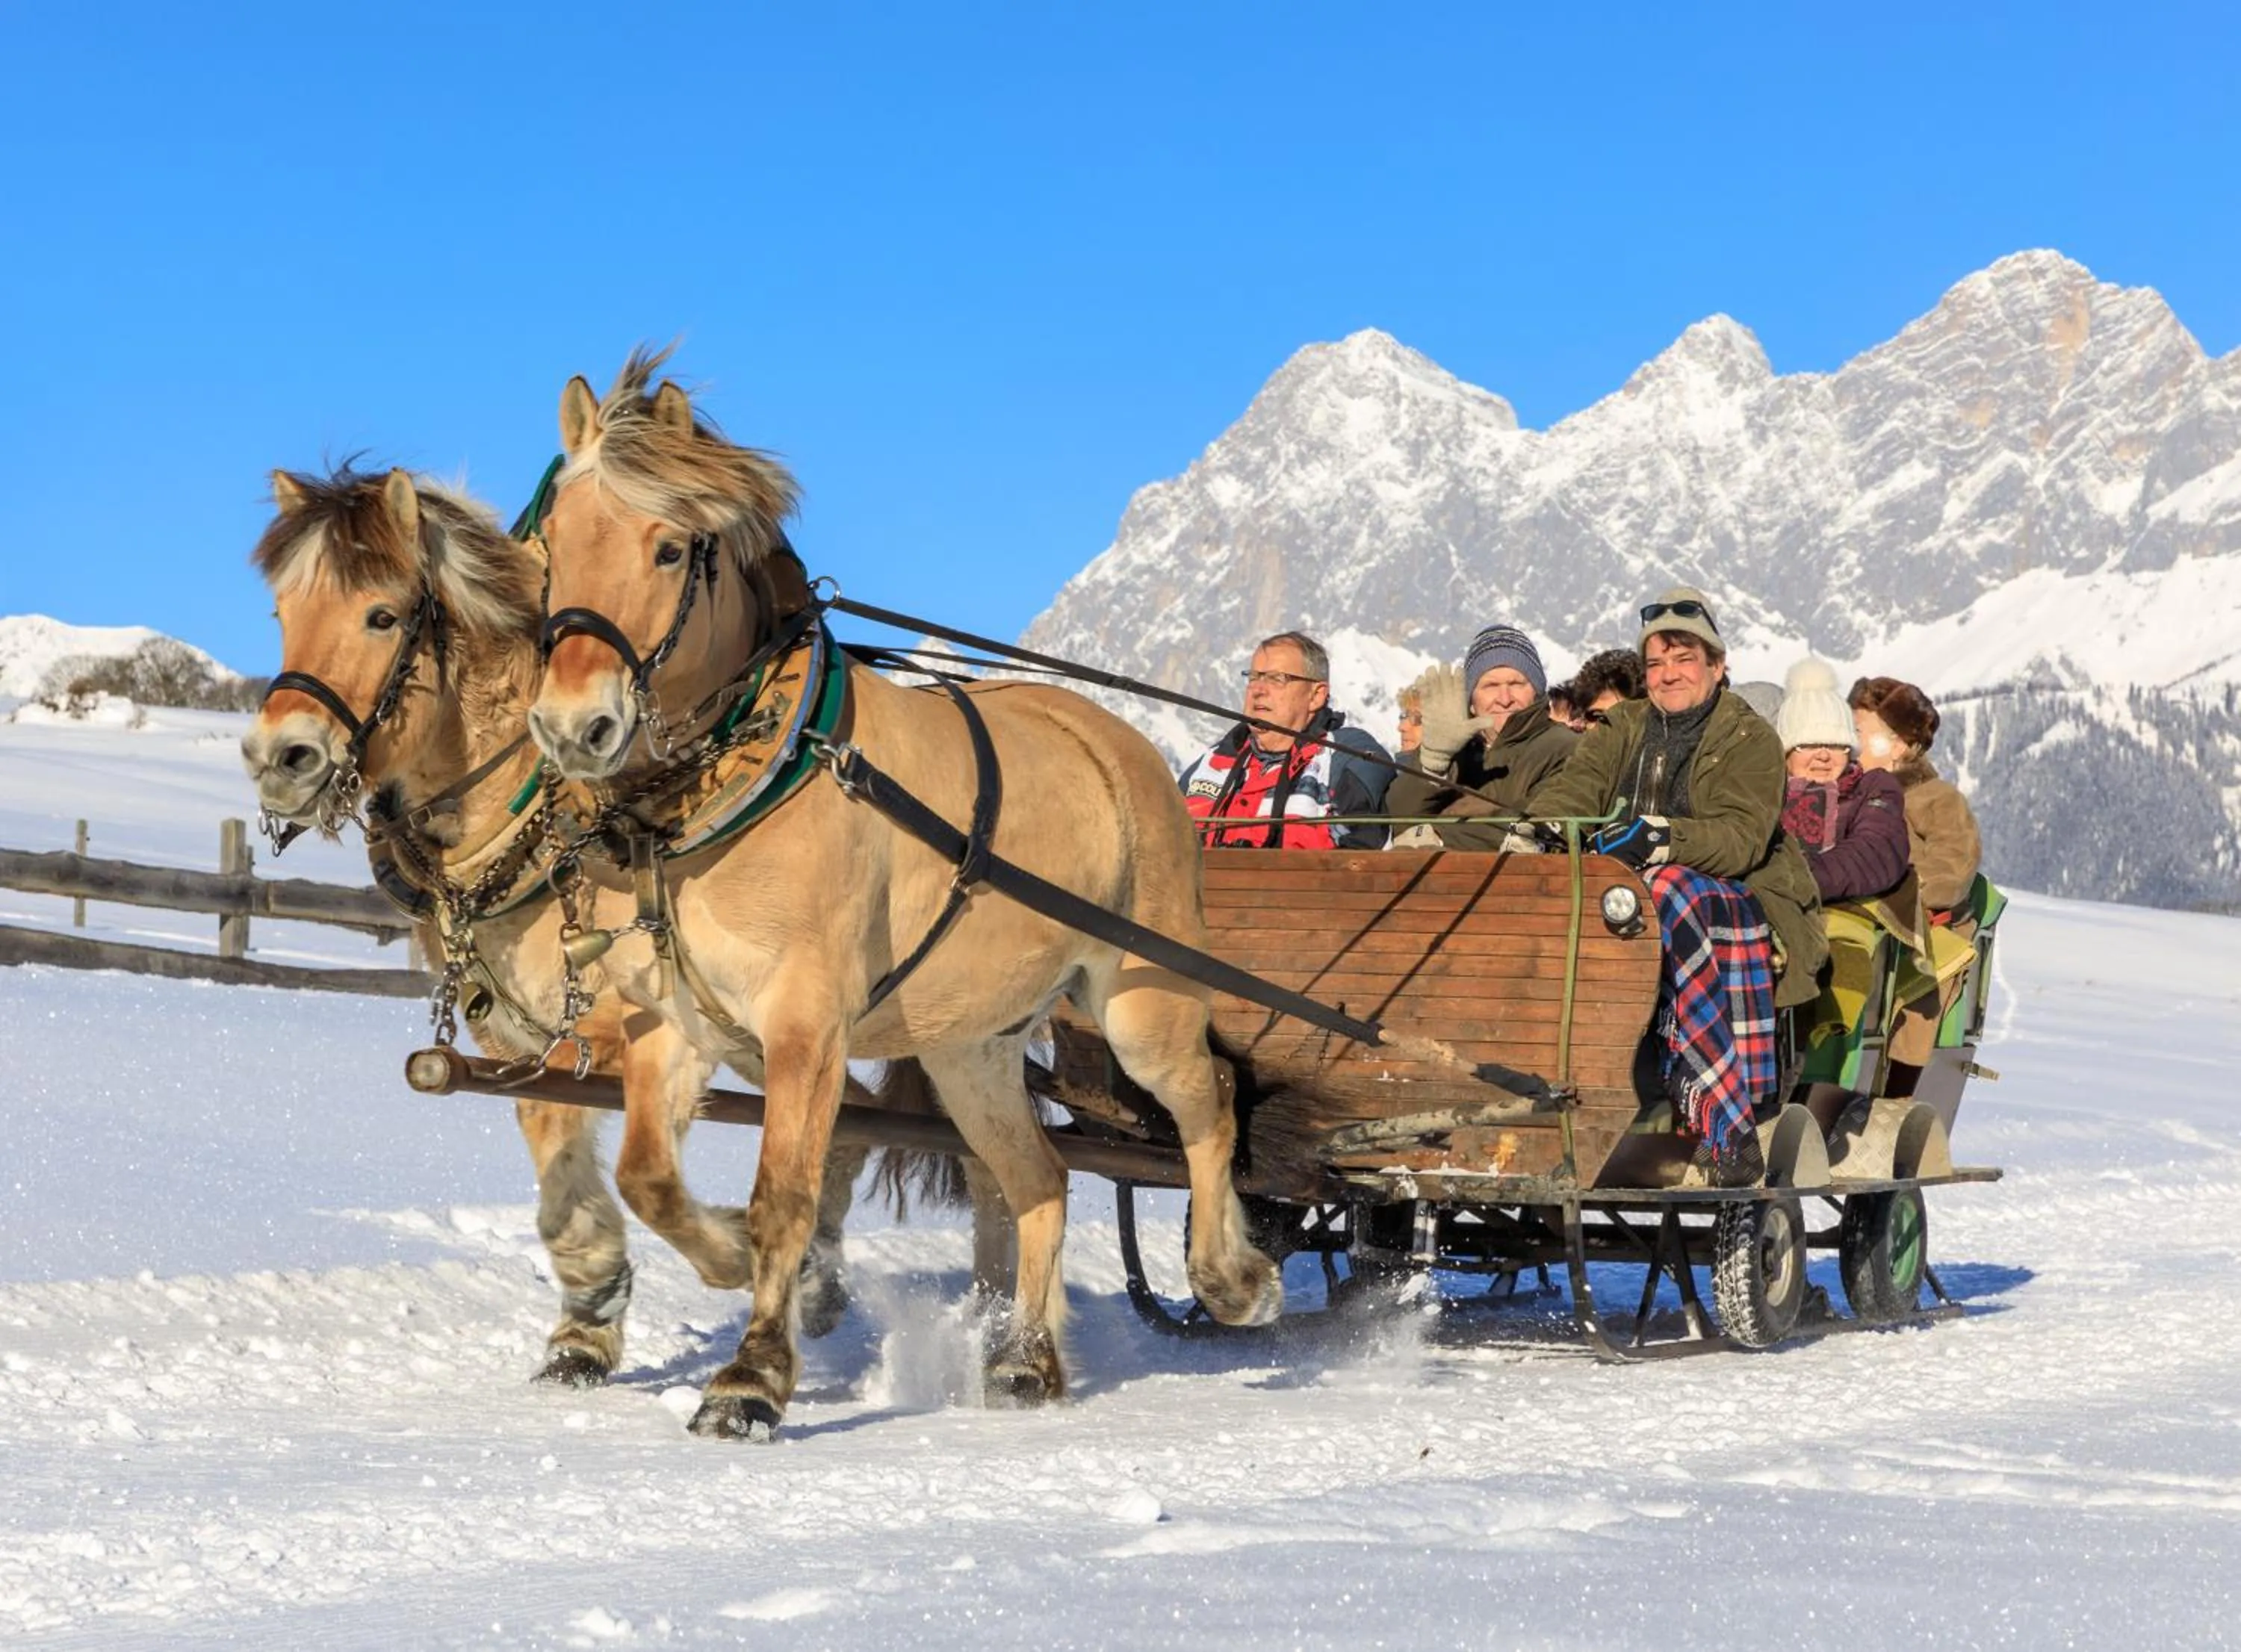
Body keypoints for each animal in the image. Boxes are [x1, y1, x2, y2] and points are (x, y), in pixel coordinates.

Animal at [238, 464, 997, 1386]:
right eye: (283, 613)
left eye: (381, 615)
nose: (278, 758)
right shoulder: (523, 1041)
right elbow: (559, 1160)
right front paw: (589, 1317)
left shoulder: (648, 1026)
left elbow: (649, 1174)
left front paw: (734, 1255)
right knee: (862, 1121)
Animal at [525, 348, 1282, 1442]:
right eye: (553, 544)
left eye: (668, 550)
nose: (570, 727)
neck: (761, 775)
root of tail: (1120, 745)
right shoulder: (676, 1020)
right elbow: (647, 1178)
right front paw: (738, 1258)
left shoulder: (809, 1027)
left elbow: (789, 1192)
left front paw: (753, 1375)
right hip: (972, 1048)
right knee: (1040, 1179)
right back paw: (1028, 1360)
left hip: (1143, 999)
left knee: (1208, 1101)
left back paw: (1231, 1278)